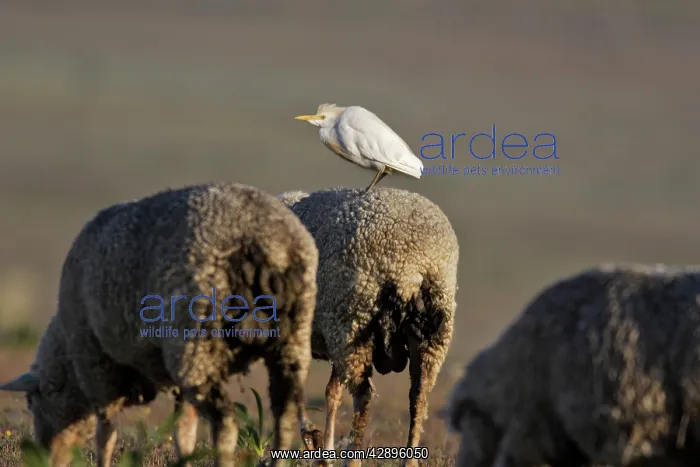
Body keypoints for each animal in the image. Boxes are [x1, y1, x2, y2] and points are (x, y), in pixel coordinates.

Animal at [0, 182, 323, 467]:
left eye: (32, 401)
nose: (44, 456)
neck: (66, 352)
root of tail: (259, 239)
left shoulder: (97, 367)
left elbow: (106, 434)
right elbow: (183, 431)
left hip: (197, 344)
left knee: (226, 423)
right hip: (291, 342)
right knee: (284, 417)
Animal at [277, 187, 460, 467]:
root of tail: (410, 264)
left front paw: (312, 438)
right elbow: (332, 391)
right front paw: (323, 449)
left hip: (351, 321)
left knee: (363, 397)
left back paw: (352, 458)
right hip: (431, 330)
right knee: (419, 397)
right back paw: (409, 459)